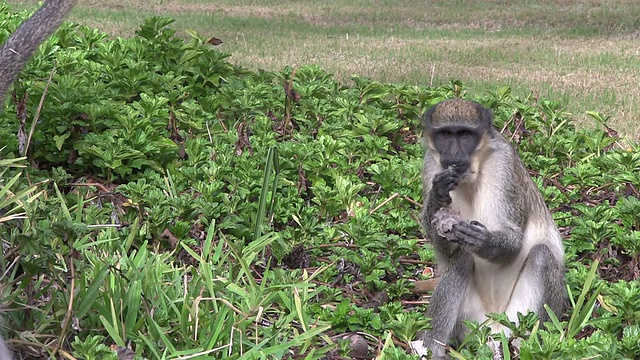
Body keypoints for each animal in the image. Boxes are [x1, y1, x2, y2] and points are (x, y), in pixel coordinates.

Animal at [420, 99, 564, 360]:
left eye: (465, 135)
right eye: (445, 135)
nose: (454, 155)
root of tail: (495, 331)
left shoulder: (504, 164)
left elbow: (514, 240)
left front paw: (482, 241)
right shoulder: (430, 164)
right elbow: (445, 247)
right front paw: (437, 196)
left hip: (518, 319)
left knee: (541, 256)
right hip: (470, 325)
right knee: (461, 258)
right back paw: (430, 348)